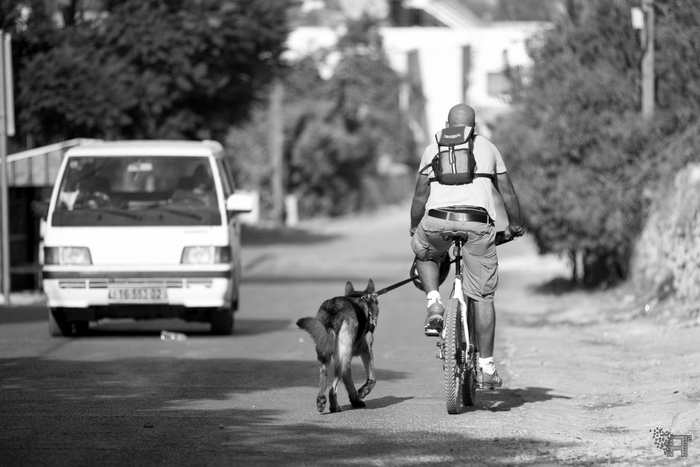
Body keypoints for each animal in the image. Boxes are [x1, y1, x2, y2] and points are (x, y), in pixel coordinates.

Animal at [298, 278, 380, 414]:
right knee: (332, 389)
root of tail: (334, 310)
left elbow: (349, 383)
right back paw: (334, 407)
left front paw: (355, 400)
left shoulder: (348, 360)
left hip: (327, 353)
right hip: (342, 358)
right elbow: (372, 377)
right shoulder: (366, 350)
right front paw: (363, 391)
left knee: (324, 377)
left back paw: (321, 401)